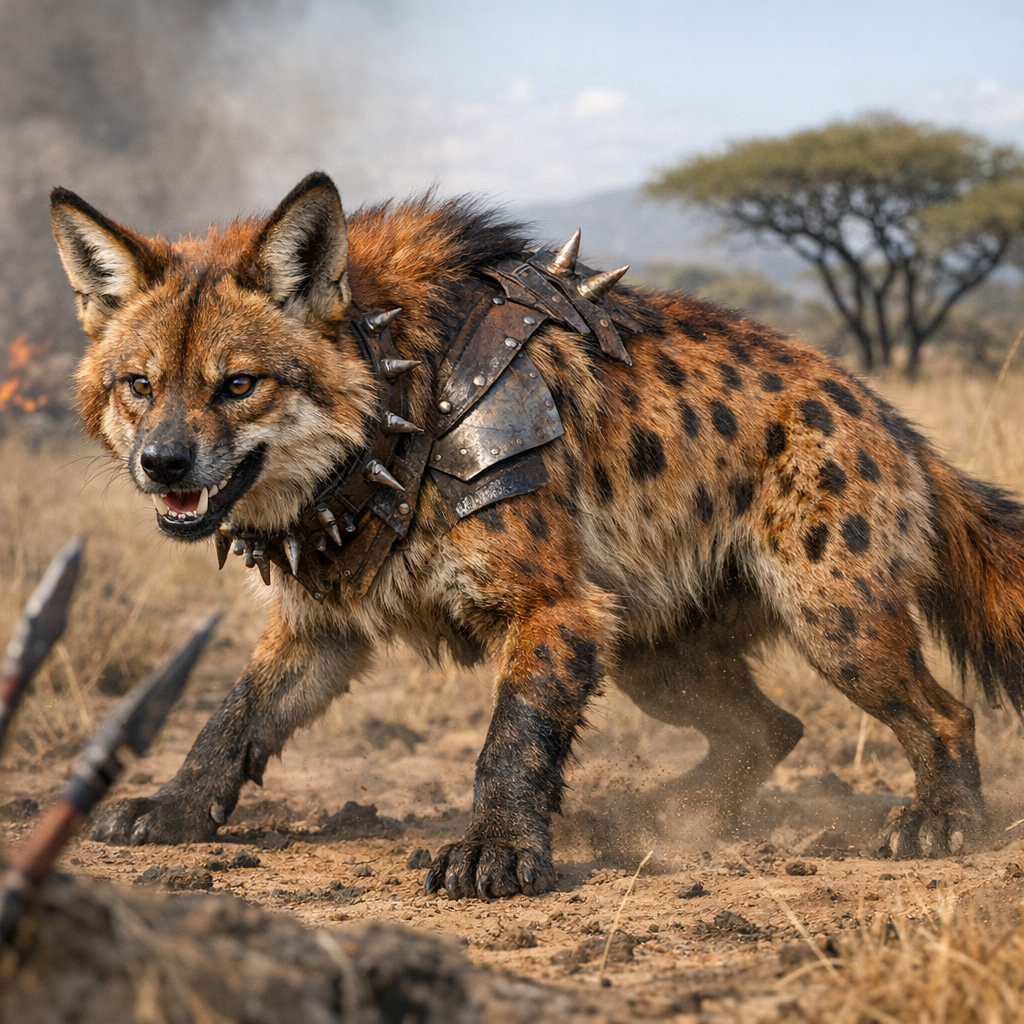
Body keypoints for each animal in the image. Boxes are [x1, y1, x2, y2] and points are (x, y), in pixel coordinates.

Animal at [49, 171, 1024, 899]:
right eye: (139, 384)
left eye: (240, 384)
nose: (163, 463)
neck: (400, 400)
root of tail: (890, 419)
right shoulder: (320, 627)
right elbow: (231, 719)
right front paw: (172, 808)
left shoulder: (554, 608)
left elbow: (509, 741)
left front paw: (495, 850)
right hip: (655, 656)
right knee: (771, 729)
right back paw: (659, 815)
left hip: (833, 624)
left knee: (944, 713)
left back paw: (941, 822)